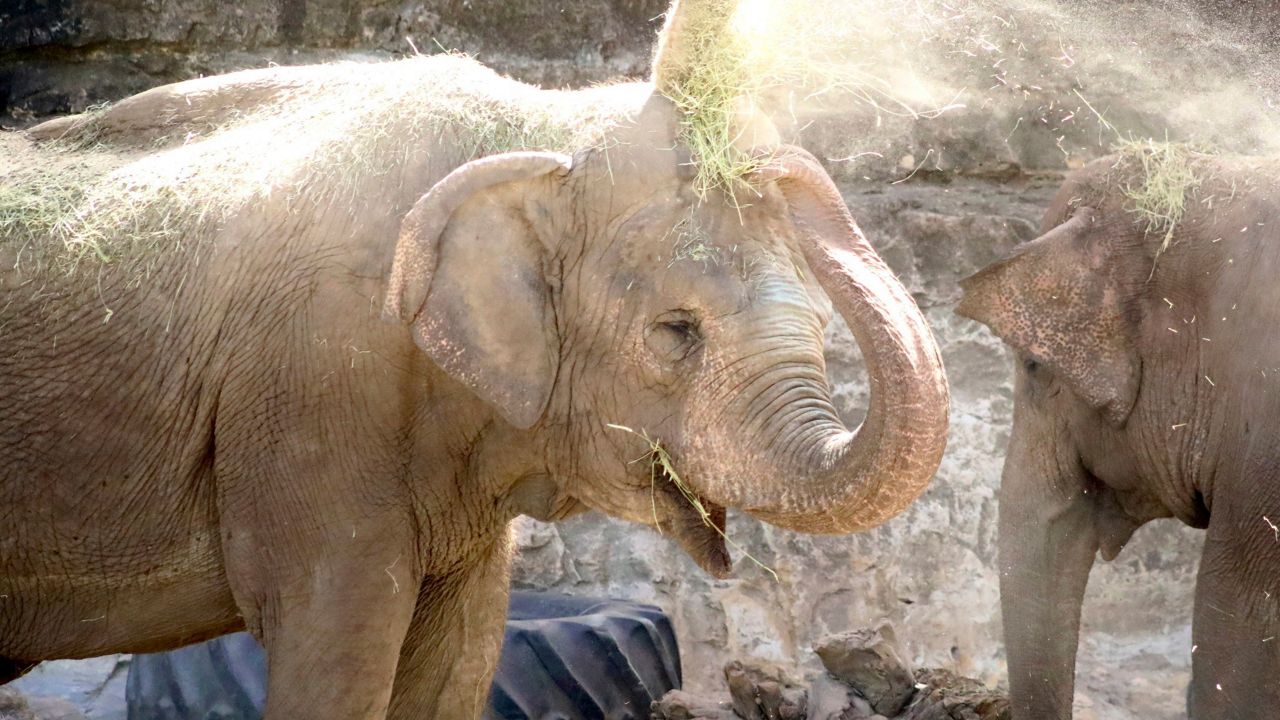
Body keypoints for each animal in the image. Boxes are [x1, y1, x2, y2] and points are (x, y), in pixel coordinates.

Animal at [0, 2, 952, 712]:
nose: (788, 167)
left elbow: (460, 655)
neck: (535, 124)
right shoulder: (314, 393)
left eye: (823, 333)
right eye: (675, 333)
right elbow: (339, 644)